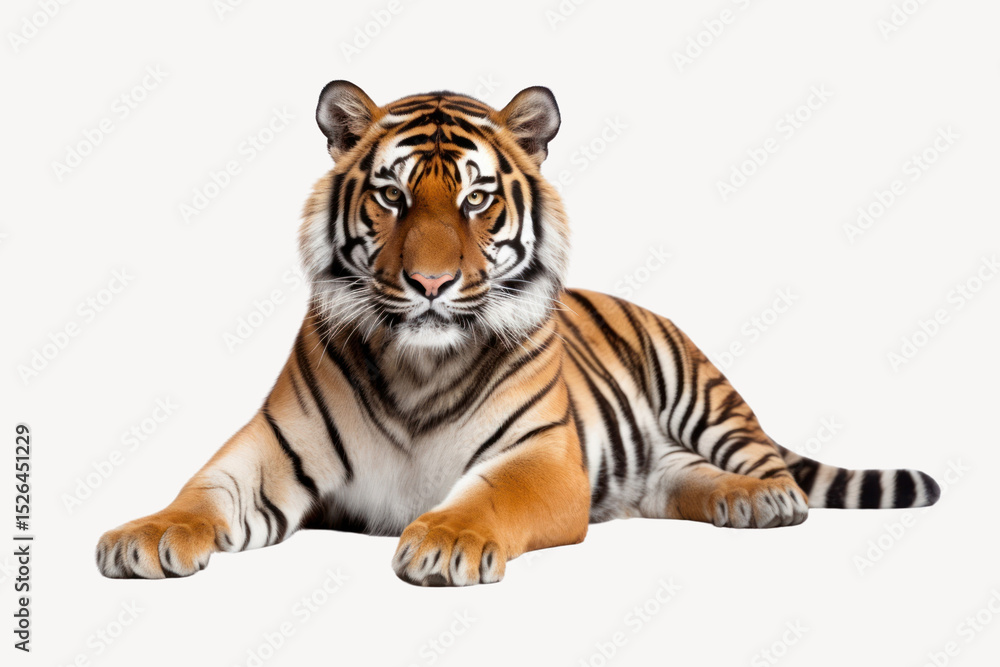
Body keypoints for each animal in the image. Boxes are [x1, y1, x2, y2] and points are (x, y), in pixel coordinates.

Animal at [96, 81, 941, 586]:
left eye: (476, 199)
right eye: (392, 196)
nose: (430, 284)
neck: (418, 367)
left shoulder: (542, 457)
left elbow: (487, 497)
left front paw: (445, 540)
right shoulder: (269, 449)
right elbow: (201, 491)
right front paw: (145, 535)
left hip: (703, 393)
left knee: (767, 462)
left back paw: (764, 499)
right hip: (655, 462)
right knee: (676, 475)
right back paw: (731, 501)